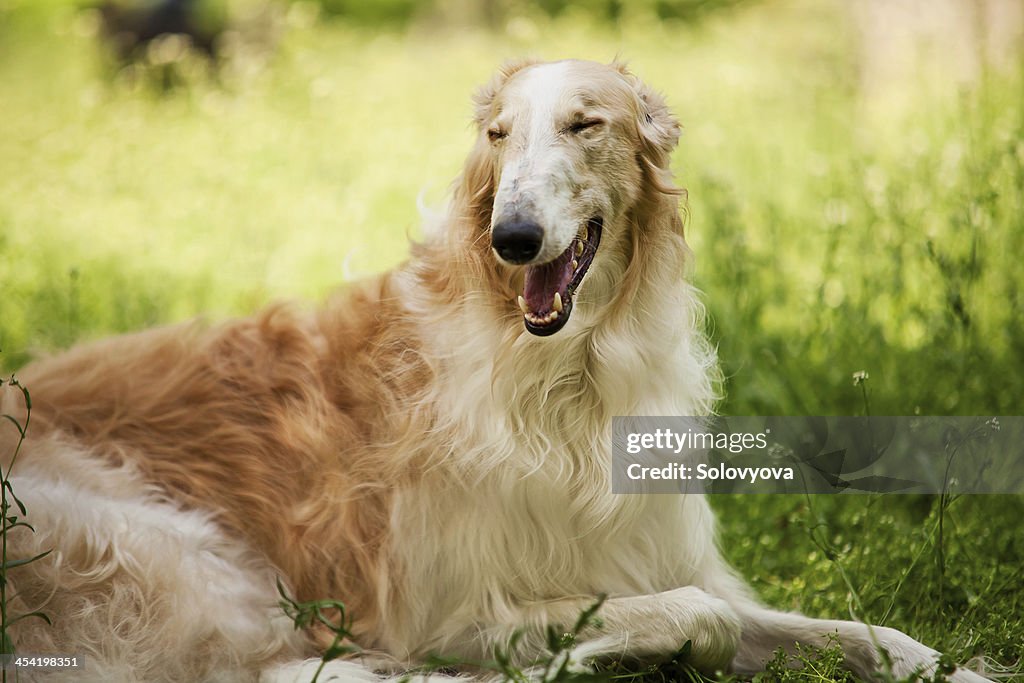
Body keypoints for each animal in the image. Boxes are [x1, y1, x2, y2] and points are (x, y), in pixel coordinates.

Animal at [2, 60, 991, 683]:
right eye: (499, 134)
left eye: (585, 124)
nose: (512, 237)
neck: (564, 379)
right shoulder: (452, 611)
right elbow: (689, 617)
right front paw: (588, 658)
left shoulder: (650, 555)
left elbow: (865, 631)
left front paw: (957, 666)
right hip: (171, 559)